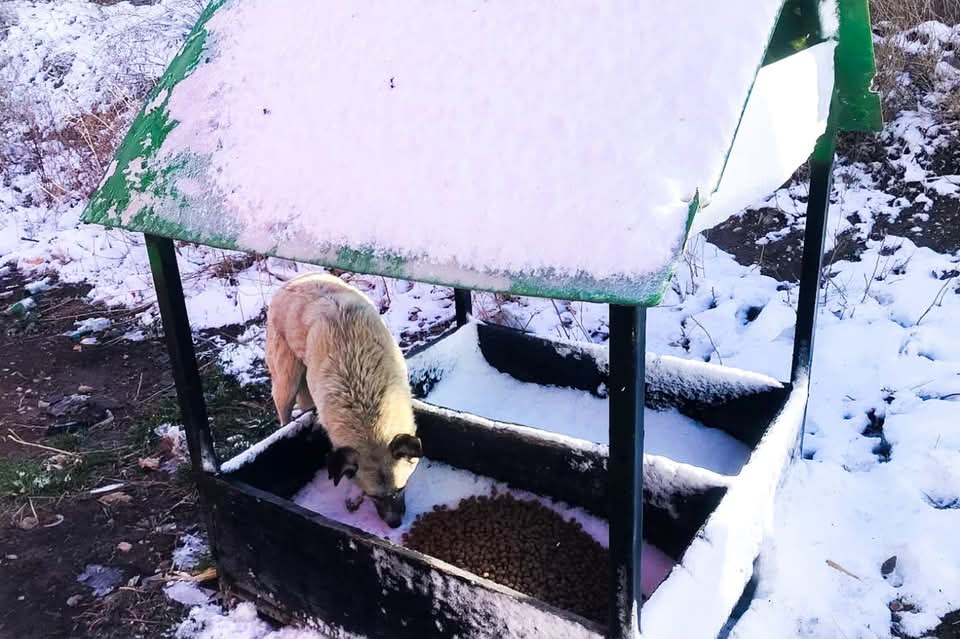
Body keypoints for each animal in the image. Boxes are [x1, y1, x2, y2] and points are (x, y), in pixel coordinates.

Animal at [268, 272, 422, 528]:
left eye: (402, 488)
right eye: (372, 496)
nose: (395, 525)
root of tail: (293, 281)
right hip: (286, 382)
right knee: (284, 415)